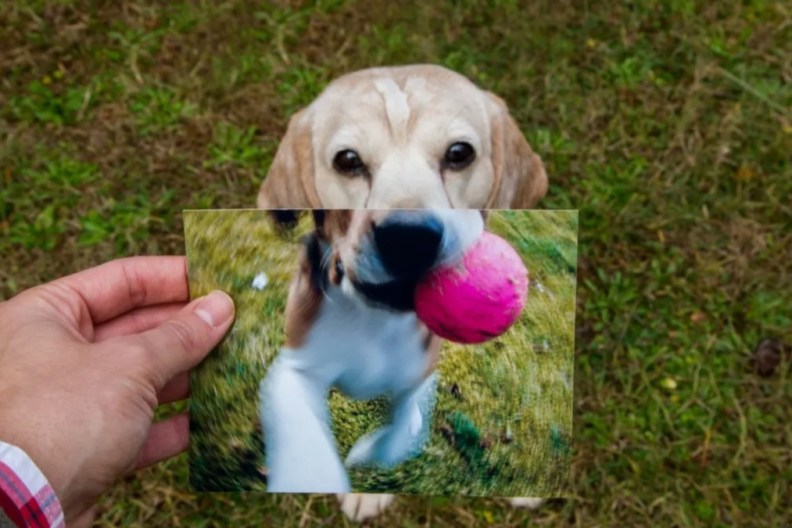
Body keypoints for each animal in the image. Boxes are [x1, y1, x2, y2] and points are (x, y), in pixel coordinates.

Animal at [256, 65, 548, 520]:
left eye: (459, 153)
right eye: (348, 161)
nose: (408, 238)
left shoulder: (420, 373)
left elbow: (402, 425)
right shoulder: (292, 368)